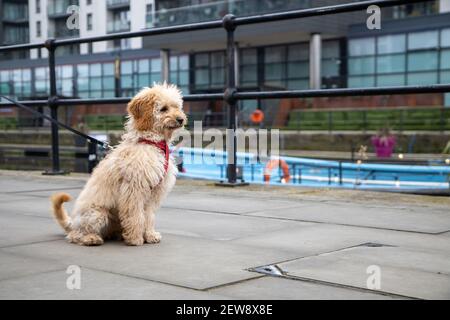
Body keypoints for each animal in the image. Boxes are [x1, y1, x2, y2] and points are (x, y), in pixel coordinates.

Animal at [51, 84, 186, 246]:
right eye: (164, 109)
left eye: (176, 106)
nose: (181, 119)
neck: (150, 142)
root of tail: (73, 223)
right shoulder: (134, 190)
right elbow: (136, 215)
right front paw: (135, 238)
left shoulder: (154, 193)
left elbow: (149, 216)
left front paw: (150, 235)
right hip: (97, 214)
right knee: (76, 235)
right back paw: (91, 238)